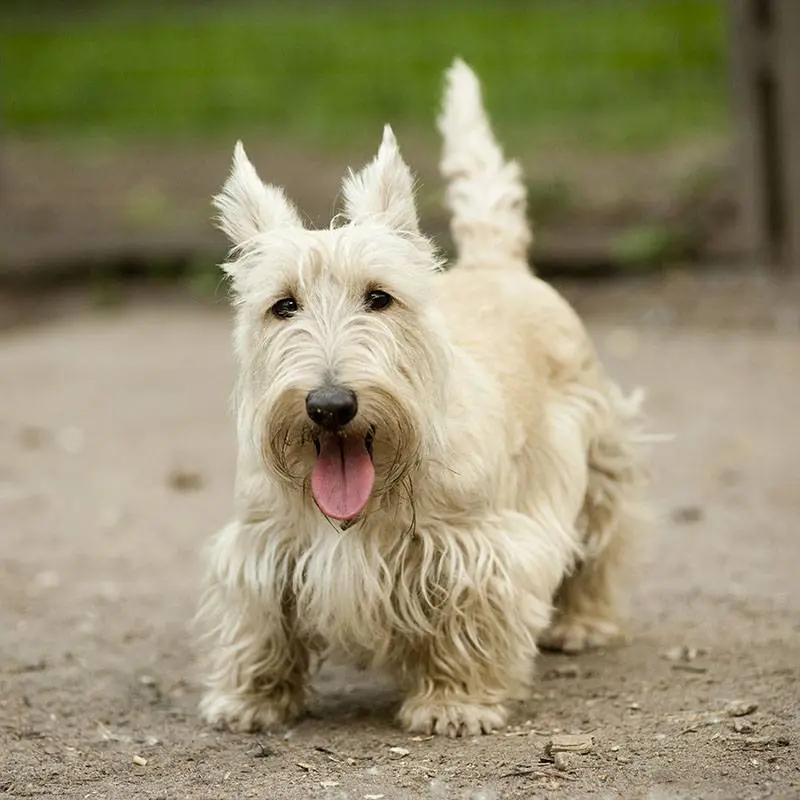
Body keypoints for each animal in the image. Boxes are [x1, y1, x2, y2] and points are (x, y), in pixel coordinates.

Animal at [197, 61, 648, 736]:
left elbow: (468, 618)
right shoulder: (264, 540)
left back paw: (583, 623)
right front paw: (251, 698)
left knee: (598, 538)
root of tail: (495, 264)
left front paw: (454, 703)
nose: (330, 406)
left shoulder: (477, 545)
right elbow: (261, 616)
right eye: (283, 305)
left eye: (379, 297)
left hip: (596, 452)